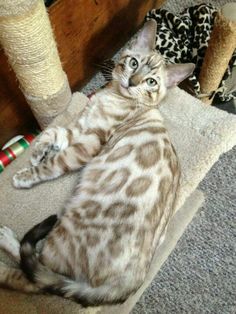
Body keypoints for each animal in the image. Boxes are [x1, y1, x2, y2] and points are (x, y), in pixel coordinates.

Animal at [0, 19, 195, 304]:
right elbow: (50, 133)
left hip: (62, 233)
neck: (112, 95)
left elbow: (52, 164)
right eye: (133, 63)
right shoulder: (77, 129)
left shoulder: (88, 143)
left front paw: (25, 175)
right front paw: (35, 153)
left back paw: (5, 244)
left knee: (36, 275)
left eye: (151, 82)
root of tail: (131, 282)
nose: (132, 81)